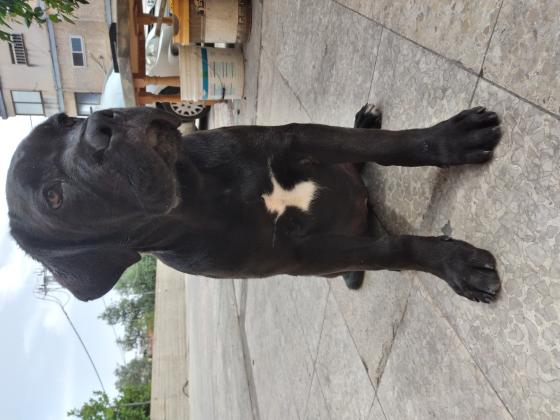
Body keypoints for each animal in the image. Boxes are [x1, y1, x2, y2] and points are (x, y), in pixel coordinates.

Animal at [6, 105, 502, 302]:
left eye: (64, 120)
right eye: (54, 197)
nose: (100, 128)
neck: (205, 193)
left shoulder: (297, 138)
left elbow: (389, 146)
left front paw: (452, 139)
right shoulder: (304, 254)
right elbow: (390, 249)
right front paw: (453, 264)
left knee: (361, 154)